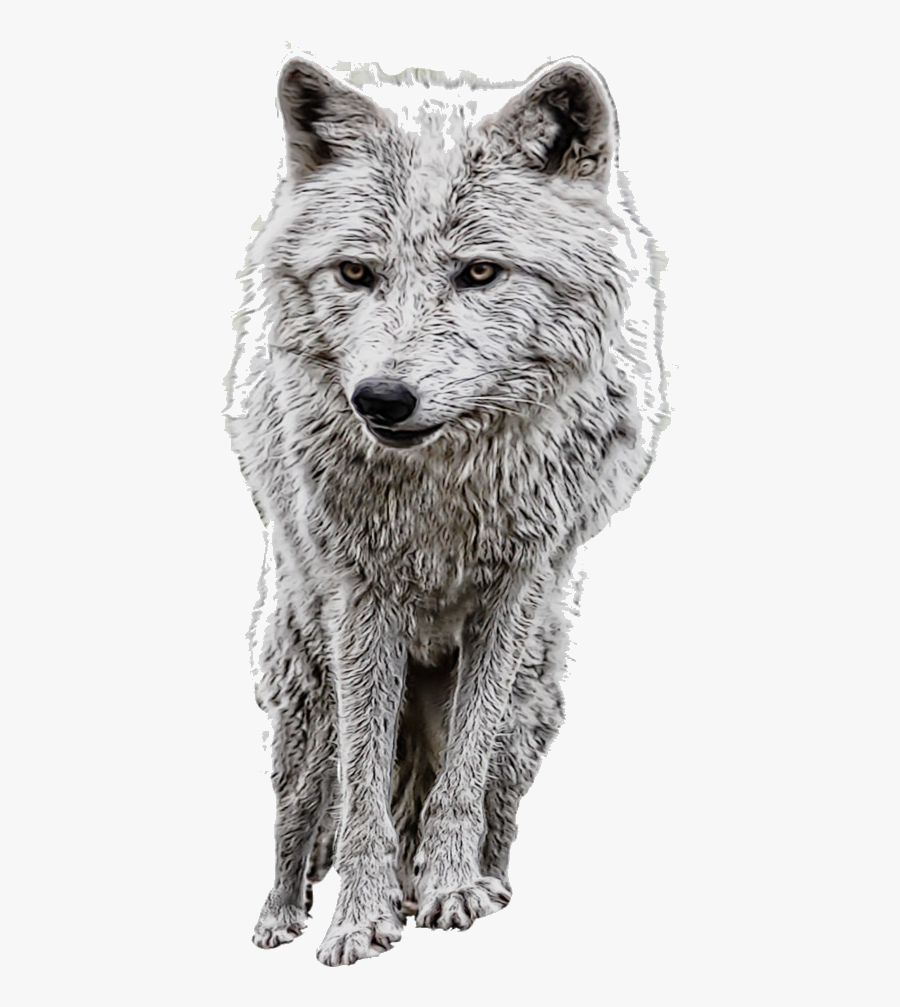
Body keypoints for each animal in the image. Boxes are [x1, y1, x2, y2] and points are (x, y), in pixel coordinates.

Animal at [225, 54, 666, 966]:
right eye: (356, 273)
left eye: (480, 272)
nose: (381, 399)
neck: (442, 486)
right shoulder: (361, 600)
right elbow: (360, 794)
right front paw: (358, 919)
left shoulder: (515, 590)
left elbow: (464, 767)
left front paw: (452, 888)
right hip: (304, 687)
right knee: (300, 808)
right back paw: (282, 914)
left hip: (538, 694)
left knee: (485, 792)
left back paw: (480, 879)